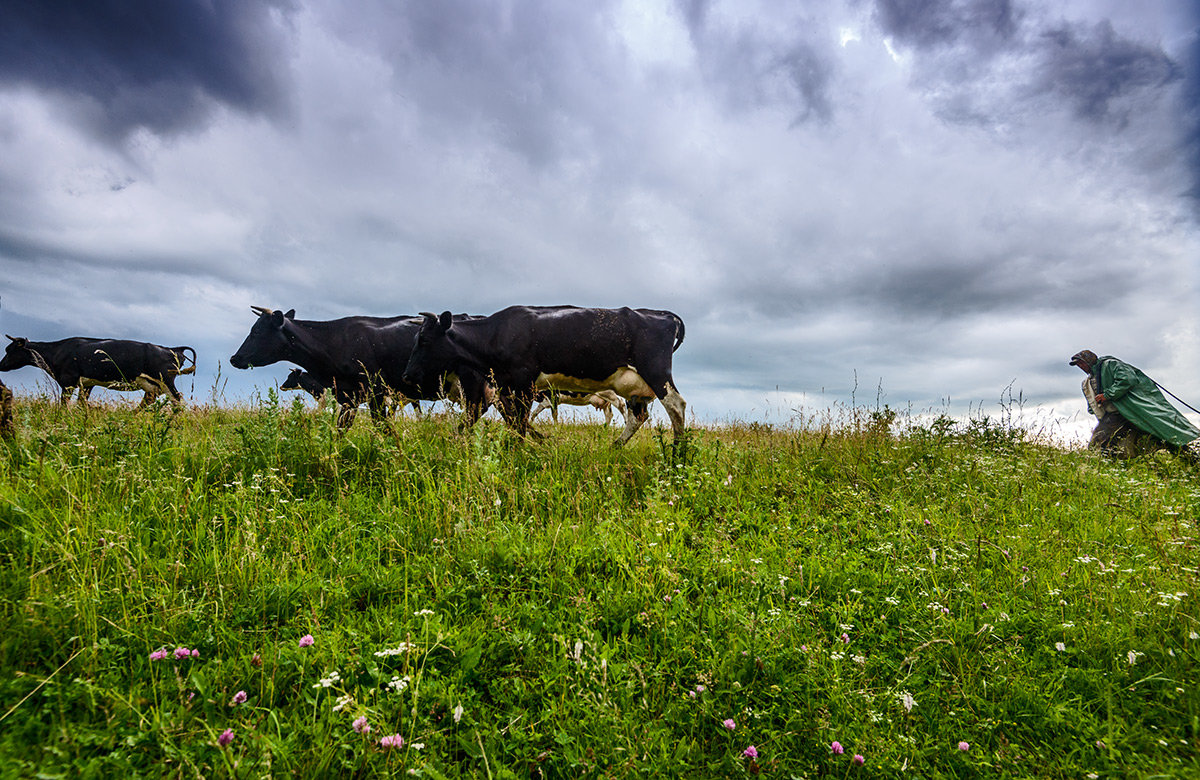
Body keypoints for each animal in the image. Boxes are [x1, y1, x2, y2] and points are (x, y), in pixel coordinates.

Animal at [0, 333, 195, 408]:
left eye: (9, 350)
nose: (1, 365)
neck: (56, 352)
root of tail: (173, 349)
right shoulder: (87, 384)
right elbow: (81, 404)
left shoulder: (68, 382)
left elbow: (64, 404)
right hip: (151, 385)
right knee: (148, 400)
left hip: (166, 381)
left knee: (177, 401)